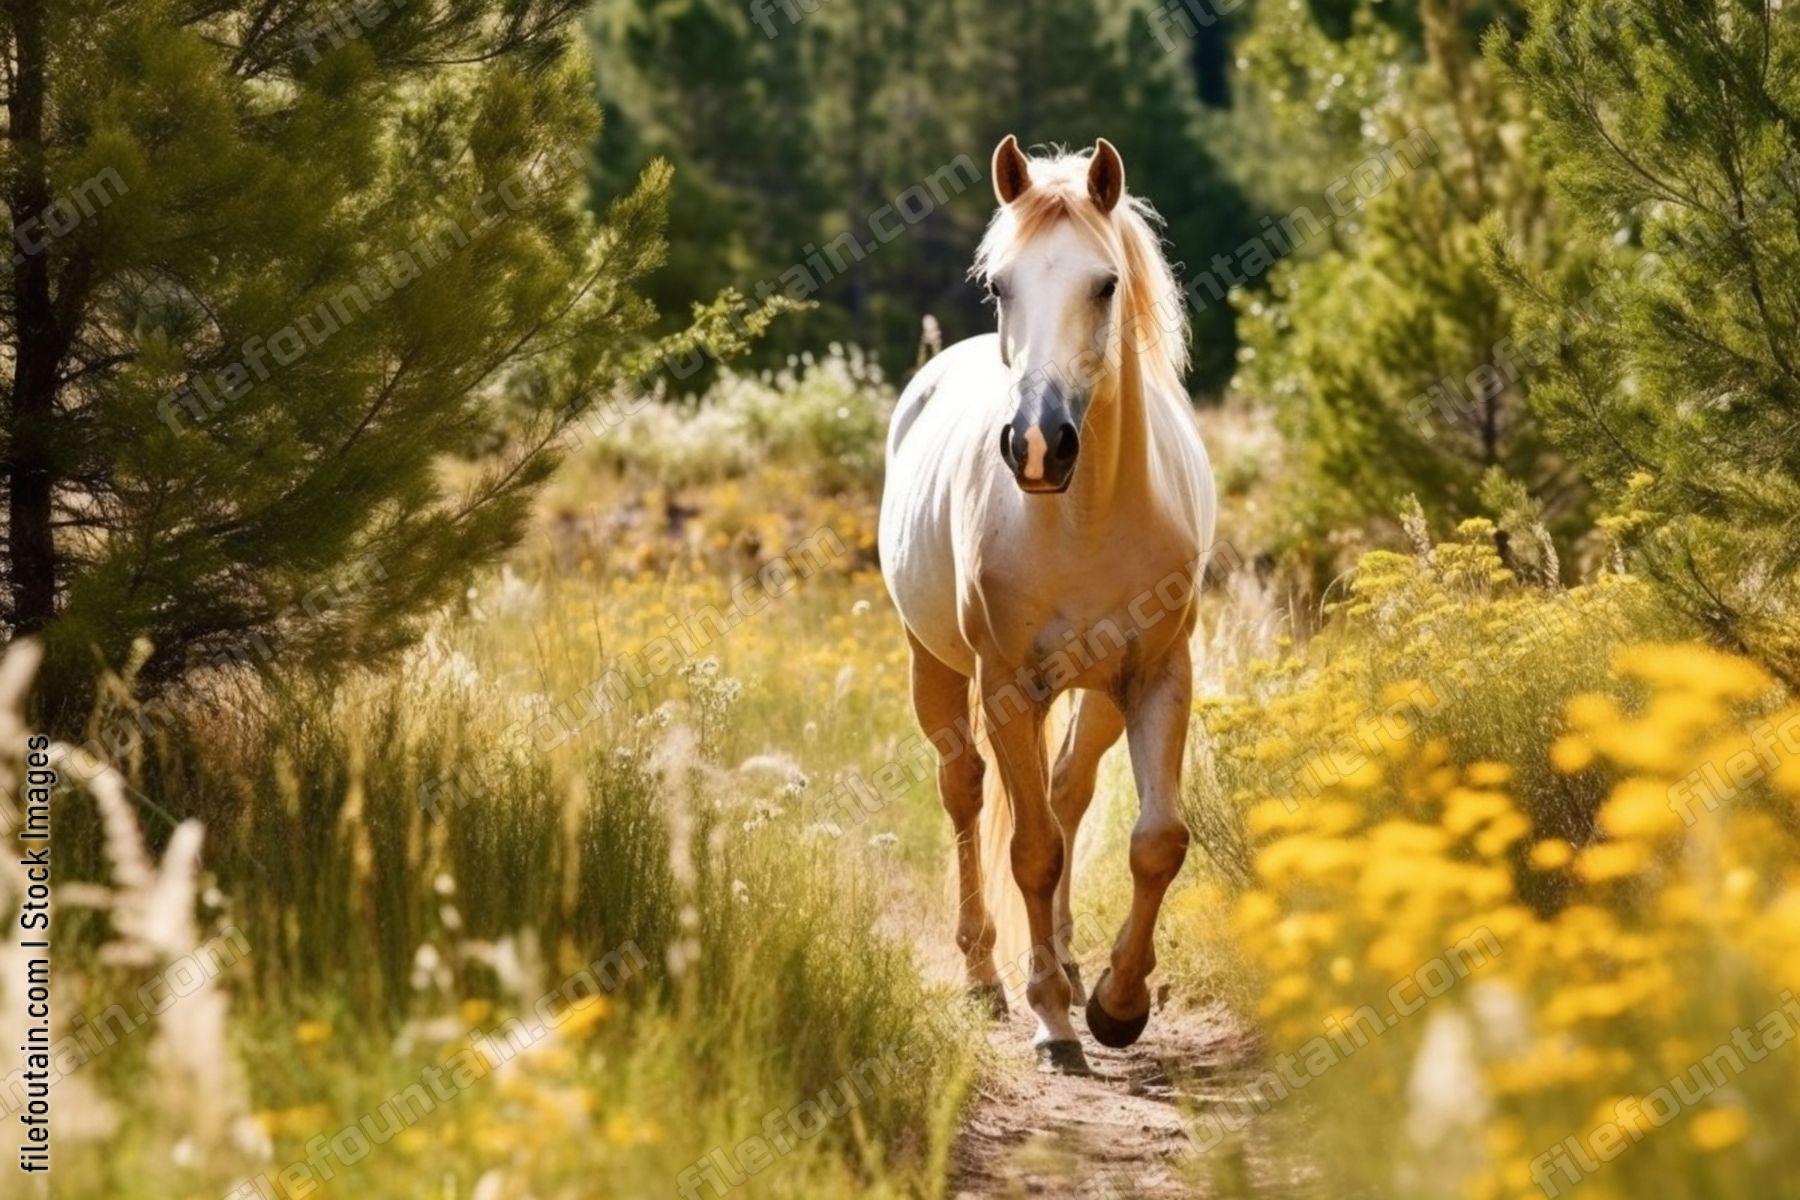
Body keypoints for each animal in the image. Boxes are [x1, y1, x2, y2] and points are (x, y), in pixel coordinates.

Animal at [878, 136, 1216, 1074]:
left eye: (1105, 284)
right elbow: (1030, 851)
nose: (1036, 445)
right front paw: (1055, 1024)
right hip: (936, 668)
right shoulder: (1007, 686)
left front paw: (1116, 1003)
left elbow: (1156, 841)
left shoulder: (1158, 676)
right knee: (964, 790)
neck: (1085, 514)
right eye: (1001, 285)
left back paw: (1063, 962)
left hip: (1096, 694)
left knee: (1068, 794)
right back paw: (985, 976)